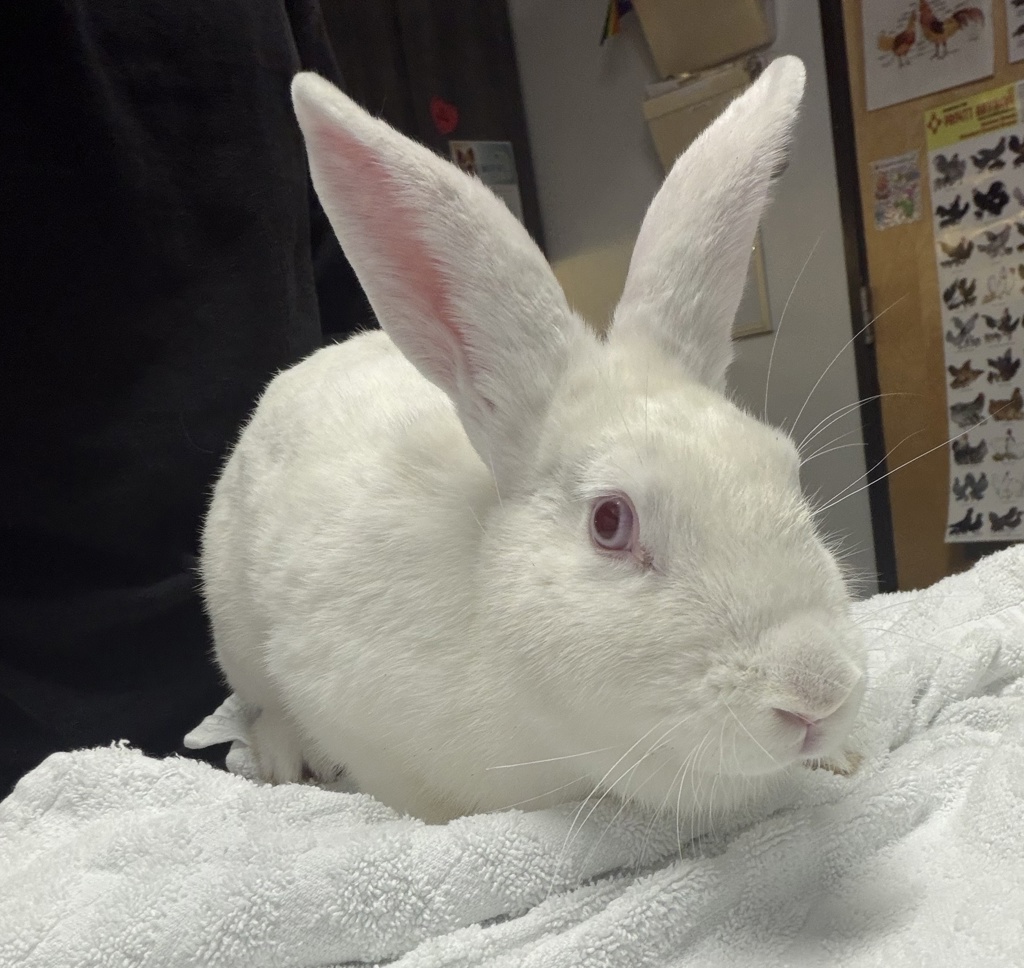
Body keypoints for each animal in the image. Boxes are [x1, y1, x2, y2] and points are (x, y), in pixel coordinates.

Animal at [200, 56, 866, 825]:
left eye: (786, 470)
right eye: (609, 521)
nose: (817, 692)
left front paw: (844, 758)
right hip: (234, 626)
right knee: (260, 703)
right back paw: (283, 760)